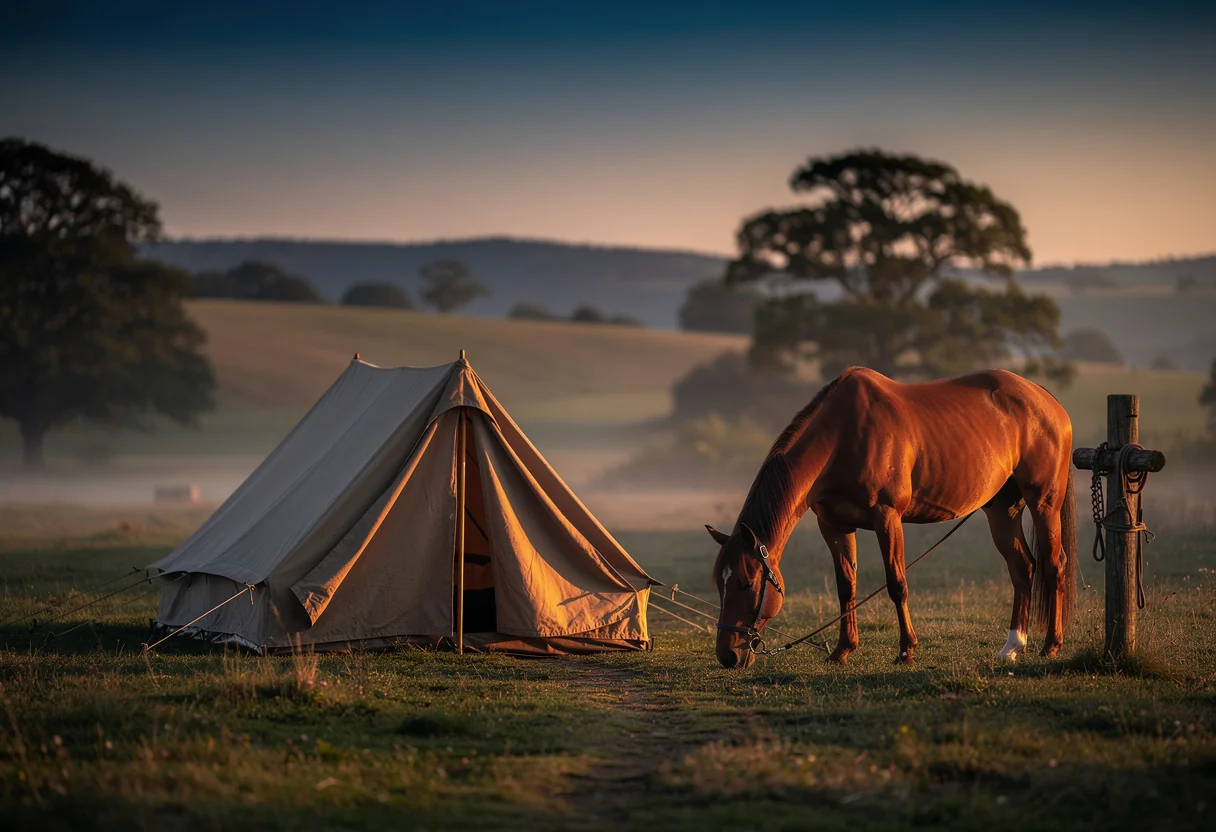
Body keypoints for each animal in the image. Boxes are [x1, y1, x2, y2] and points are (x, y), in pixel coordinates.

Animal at [707, 366, 1077, 670]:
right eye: (718, 584)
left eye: (747, 583)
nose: (728, 656)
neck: (842, 435)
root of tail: (1044, 398)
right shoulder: (834, 525)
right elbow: (846, 586)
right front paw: (842, 650)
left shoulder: (887, 518)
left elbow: (897, 583)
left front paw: (906, 651)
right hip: (1002, 510)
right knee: (1022, 568)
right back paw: (1012, 647)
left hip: (1044, 503)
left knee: (1054, 564)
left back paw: (1051, 645)